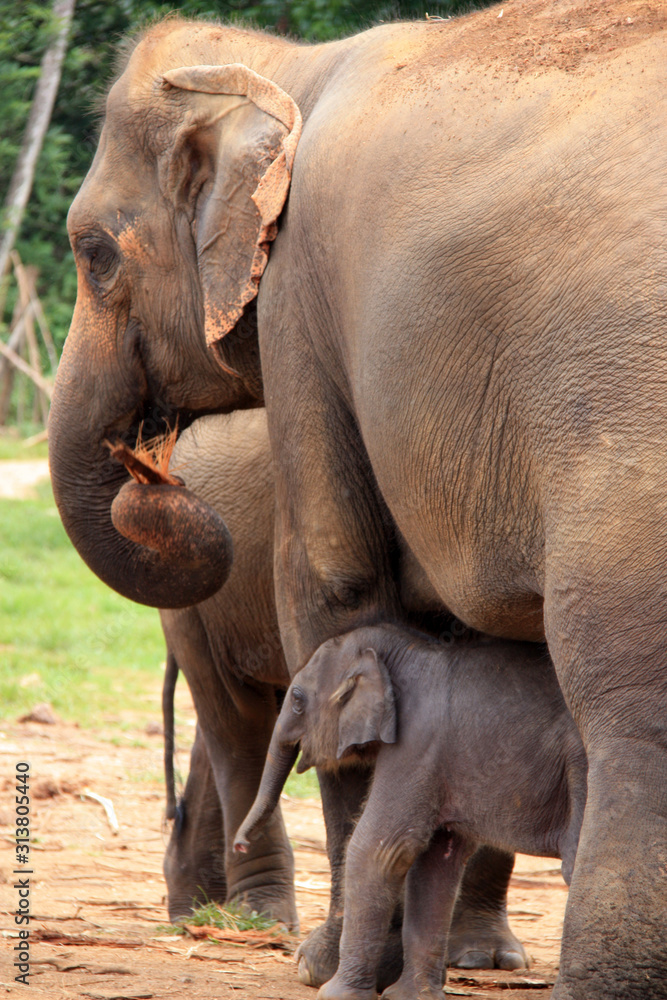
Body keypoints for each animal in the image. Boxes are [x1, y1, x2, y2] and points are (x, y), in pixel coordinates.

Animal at [234, 624, 588, 1000]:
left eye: (298, 699)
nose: (240, 844)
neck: (407, 652)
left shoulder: (416, 745)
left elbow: (379, 849)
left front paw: (334, 994)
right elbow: (436, 863)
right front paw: (410, 996)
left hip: (583, 769)